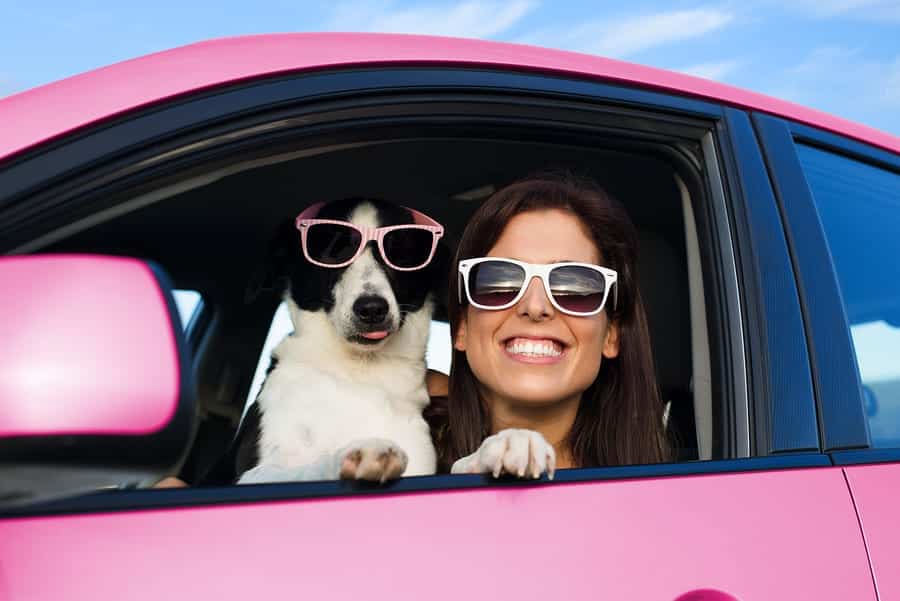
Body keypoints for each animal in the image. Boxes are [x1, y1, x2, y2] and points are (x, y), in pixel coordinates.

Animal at [232, 197, 442, 482]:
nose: (372, 309)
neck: (359, 372)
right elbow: (305, 468)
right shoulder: (250, 474)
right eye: (332, 249)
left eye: (400, 250)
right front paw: (353, 456)